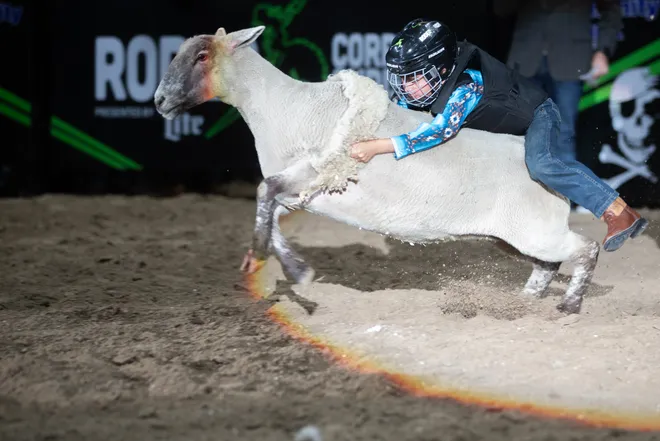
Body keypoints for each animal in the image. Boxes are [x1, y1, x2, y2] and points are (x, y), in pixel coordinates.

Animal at [154, 25, 601, 314]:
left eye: (202, 56)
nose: (159, 100)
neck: (280, 105)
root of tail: (545, 163)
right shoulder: (306, 192)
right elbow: (272, 208)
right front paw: (298, 270)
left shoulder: (313, 168)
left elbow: (265, 192)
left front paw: (259, 256)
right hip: (512, 236)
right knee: (547, 265)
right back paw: (528, 299)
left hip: (536, 231)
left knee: (586, 249)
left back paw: (570, 303)